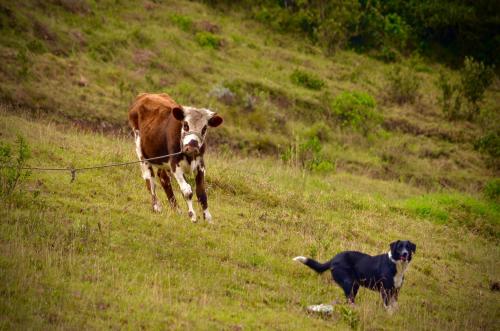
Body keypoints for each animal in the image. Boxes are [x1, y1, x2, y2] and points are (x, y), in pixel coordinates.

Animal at [128, 93, 224, 223]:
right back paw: (156, 206)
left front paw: (208, 218)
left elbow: (201, 193)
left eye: (204, 128)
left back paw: (176, 209)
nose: (192, 148)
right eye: (186, 125)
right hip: (141, 150)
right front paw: (192, 216)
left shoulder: (200, 165)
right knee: (149, 178)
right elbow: (187, 191)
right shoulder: (175, 164)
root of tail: (144, 94)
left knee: (163, 177)